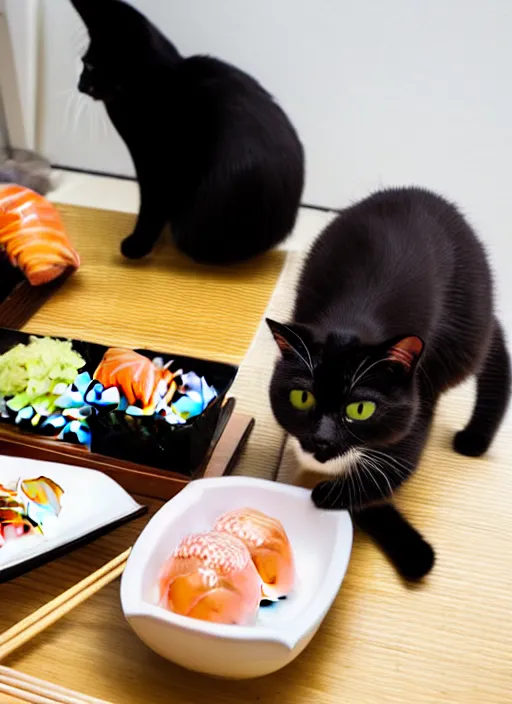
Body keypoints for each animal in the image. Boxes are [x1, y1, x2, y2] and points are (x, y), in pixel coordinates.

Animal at [266, 186, 510, 576]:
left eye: (360, 409)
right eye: (302, 399)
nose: (321, 440)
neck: (352, 317)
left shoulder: (419, 396)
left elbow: (394, 466)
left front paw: (332, 494)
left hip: (461, 332)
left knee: (489, 337)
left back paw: (475, 437)